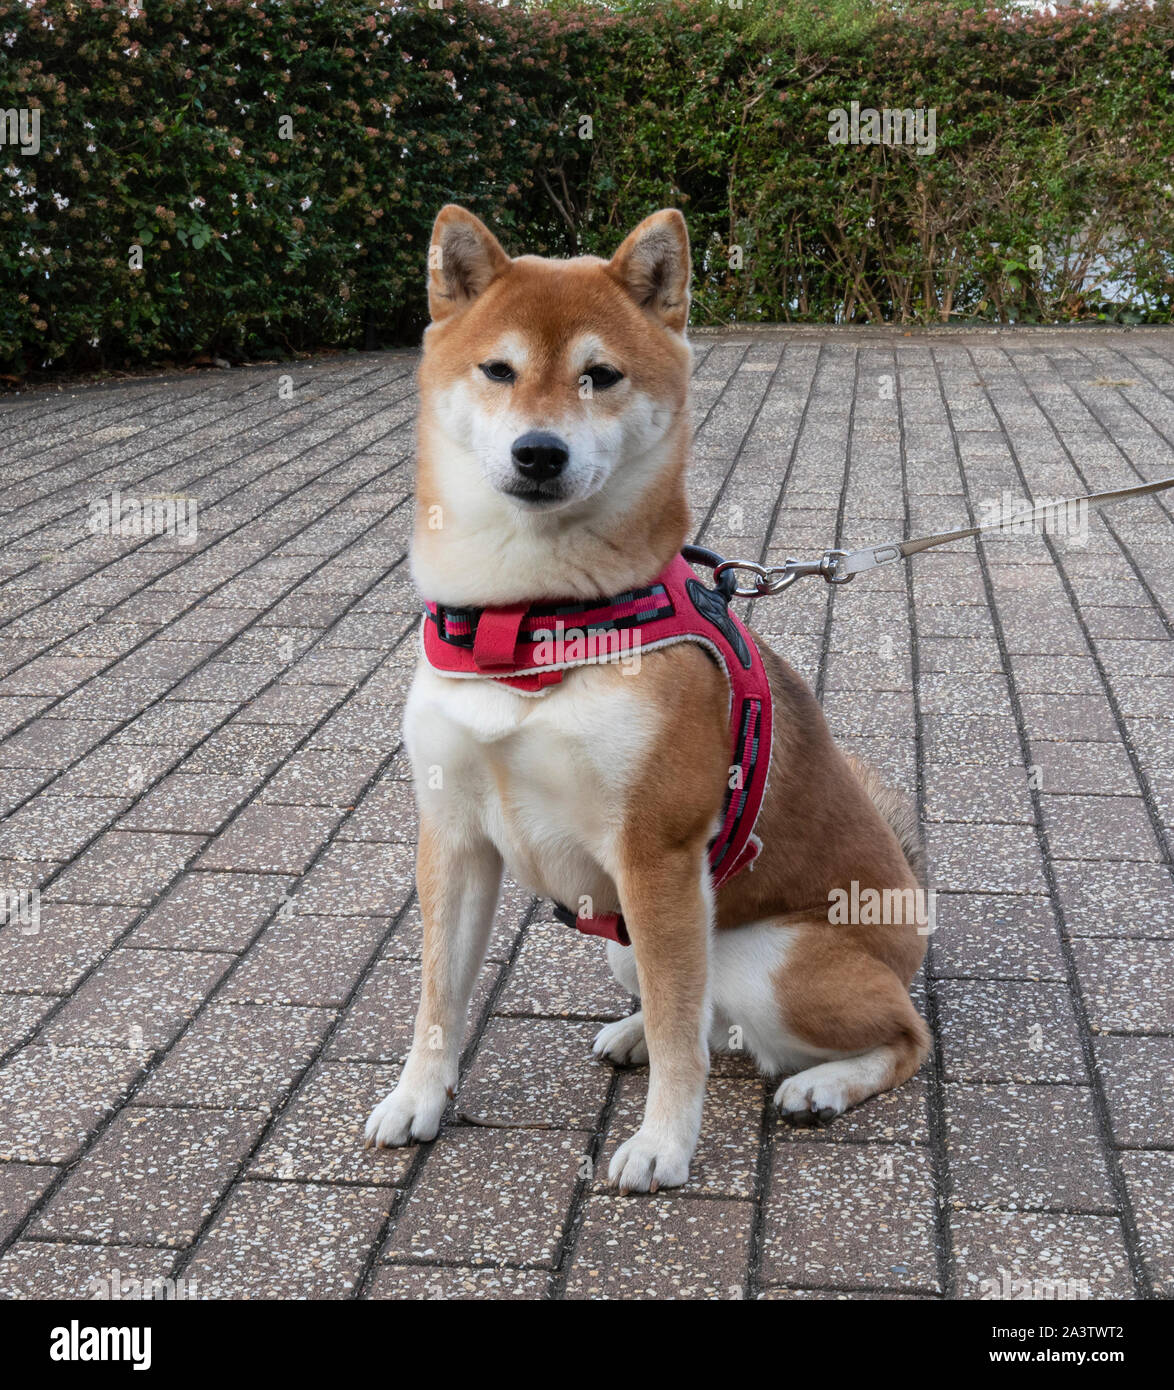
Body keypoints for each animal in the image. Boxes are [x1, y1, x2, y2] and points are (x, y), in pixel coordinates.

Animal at [361, 205, 928, 1195]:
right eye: (499, 369)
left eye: (601, 376)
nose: (538, 451)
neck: (531, 622)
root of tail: (914, 931)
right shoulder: (454, 834)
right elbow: (437, 997)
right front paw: (417, 1099)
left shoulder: (655, 849)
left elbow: (679, 1037)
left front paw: (665, 1143)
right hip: (625, 936)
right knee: (700, 1015)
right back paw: (629, 1033)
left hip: (763, 956)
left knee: (894, 1036)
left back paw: (822, 1085)